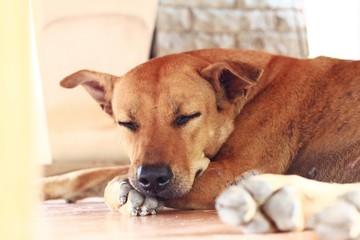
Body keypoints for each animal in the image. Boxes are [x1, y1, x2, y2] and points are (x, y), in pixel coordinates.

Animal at [40, 48, 360, 238]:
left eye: (187, 117)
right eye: (128, 124)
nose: (151, 179)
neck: (246, 94)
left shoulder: (226, 171)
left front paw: (124, 193)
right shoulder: (134, 165)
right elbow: (90, 173)